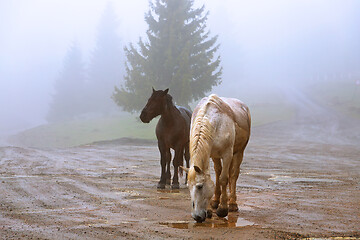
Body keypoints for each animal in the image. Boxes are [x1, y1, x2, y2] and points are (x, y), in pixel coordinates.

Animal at [183, 94, 250, 223]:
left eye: (200, 186)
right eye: (188, 187)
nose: (197, 216)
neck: (215, 122)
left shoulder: (227, 154)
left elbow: (224, 179)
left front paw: (223, 209)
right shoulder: (210, 154)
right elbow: (216, 177)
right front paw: (210, 209)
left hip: (239, 152)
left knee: (233, 175)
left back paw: (232, 203)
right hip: (216, 156)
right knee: (219, 172)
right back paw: (215, 202)